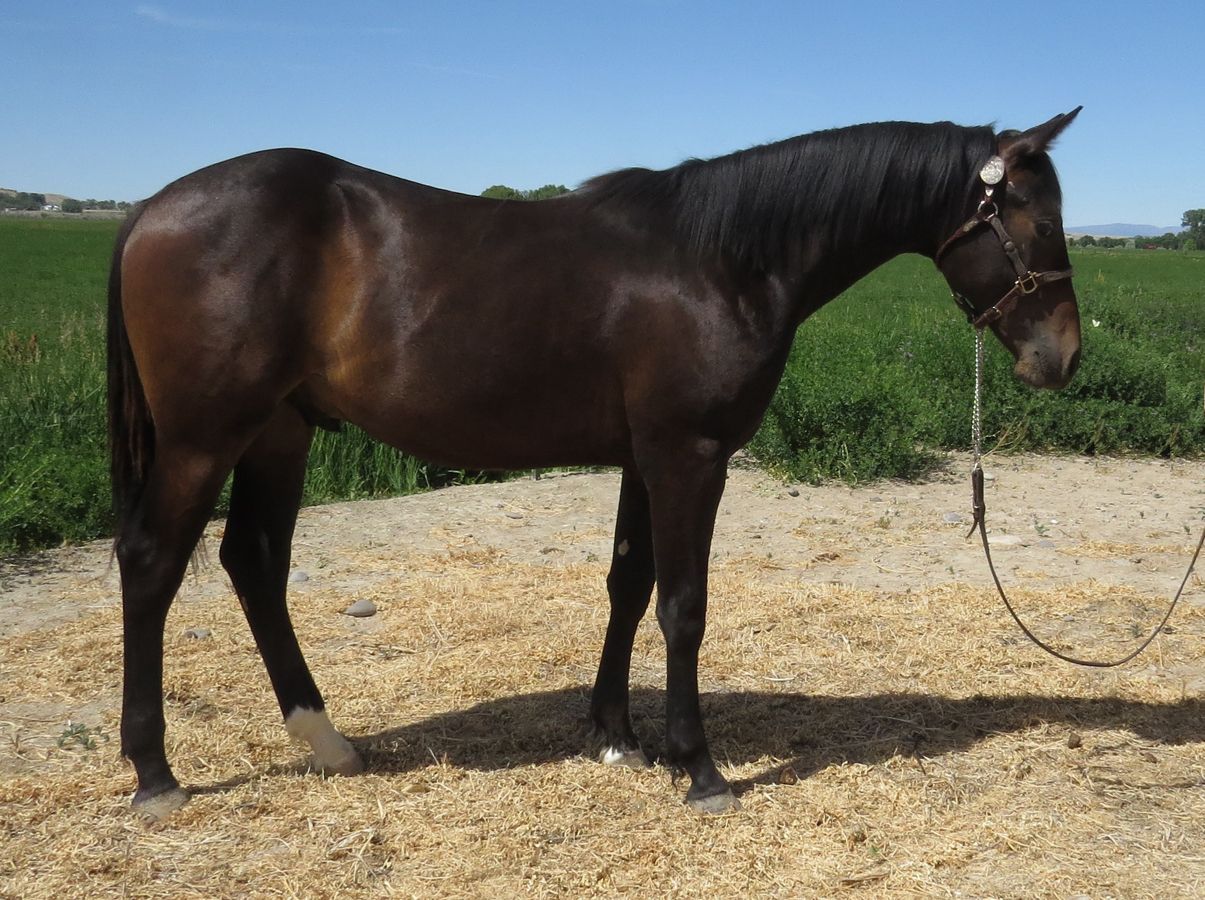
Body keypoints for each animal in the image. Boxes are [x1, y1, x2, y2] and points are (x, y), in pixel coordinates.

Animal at [108, 108, 1082, 819]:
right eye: (1037, 221)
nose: (1062, 359)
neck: (722, 259)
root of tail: (149, 206)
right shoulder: (689, 456)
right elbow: (682, 605)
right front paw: (700, 769)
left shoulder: (640, 458)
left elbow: (626, 582)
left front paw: (615, 734)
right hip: (204, 438)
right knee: (153, 565)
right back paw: (155, 774)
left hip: (278, 432)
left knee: (253, 563)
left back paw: (328, 743)